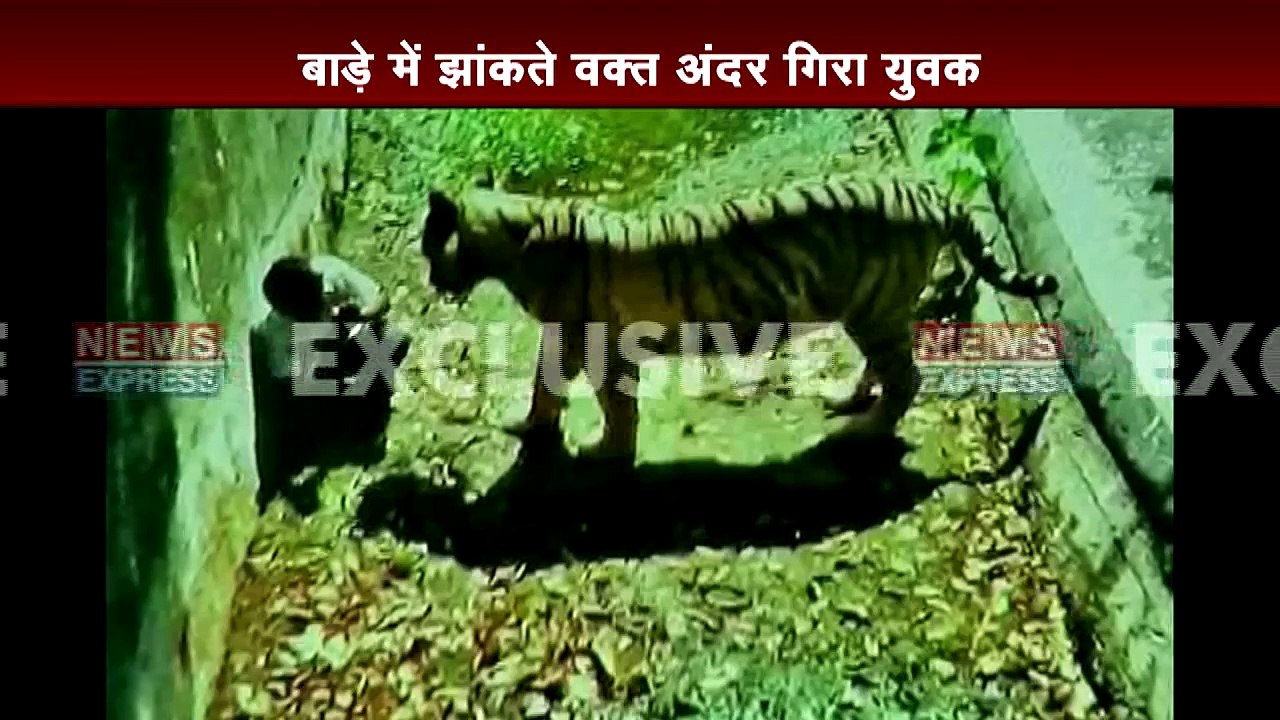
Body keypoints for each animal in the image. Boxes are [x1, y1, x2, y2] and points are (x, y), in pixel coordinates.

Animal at [418, 170, 1059, 464]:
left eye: (428, 246)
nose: (430, 281)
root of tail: (932, 192)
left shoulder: (593, 341)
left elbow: (608, 404)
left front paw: (604, 454)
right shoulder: (572, 340)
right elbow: (548, 387)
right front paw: (536, 428)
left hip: (875, 308)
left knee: (908, 377)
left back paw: (861, 431)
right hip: (873, 309)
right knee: (886, 368)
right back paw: (850, 401)